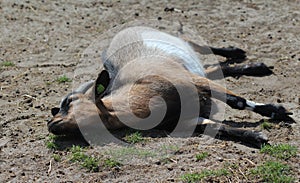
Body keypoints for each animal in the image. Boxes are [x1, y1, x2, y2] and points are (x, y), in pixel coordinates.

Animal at [48, 26, 294, 147]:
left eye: (69, 101)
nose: (50, 123)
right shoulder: (185, 118)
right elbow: (216, 126)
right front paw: (255, 136)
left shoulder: (192, 81)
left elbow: (238, 101)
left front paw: (279, 111)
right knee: (214, 68)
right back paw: (255, 66)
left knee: (197, 44)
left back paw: (237, 52)